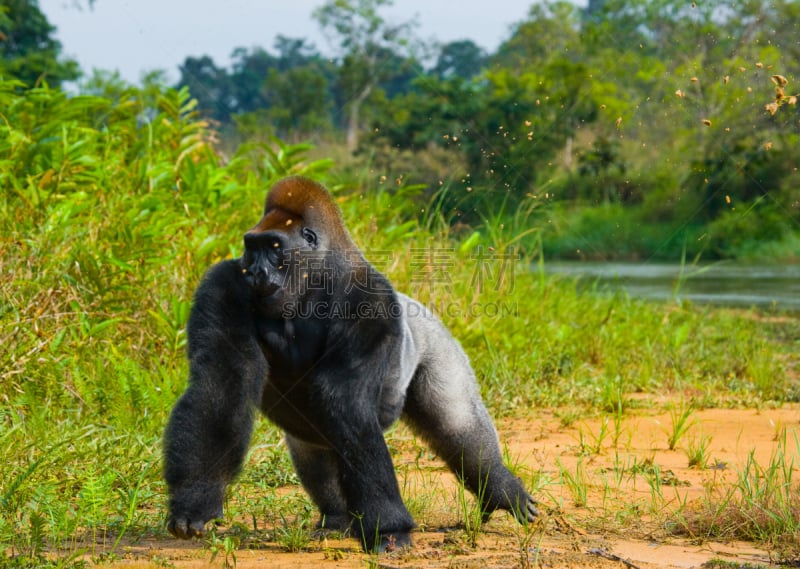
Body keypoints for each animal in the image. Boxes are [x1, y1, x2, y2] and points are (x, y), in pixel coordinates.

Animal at [162, 176, 536, 552]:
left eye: (274, 246)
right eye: (252, 248)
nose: (254, 272)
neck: (314, 280)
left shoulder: (371, 298)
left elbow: (344, 398)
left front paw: (387, 527)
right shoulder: (224, 282)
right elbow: (222, 382)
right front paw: (195, 499)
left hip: (435, 341)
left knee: (455, 422)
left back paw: (497, 486)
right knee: (315, 446)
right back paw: (338, 518)